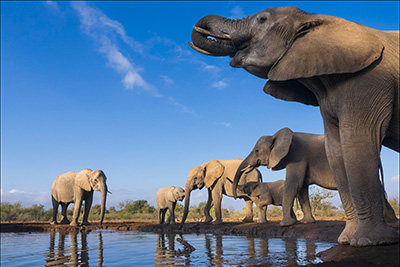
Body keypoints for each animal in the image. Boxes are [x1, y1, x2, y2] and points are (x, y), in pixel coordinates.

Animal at [231, 129, 396, 227]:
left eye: (257, 151)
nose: (235, 197)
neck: (277, 135)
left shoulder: (296, 156)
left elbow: (293, 185)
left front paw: (285, 224)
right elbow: (302, 189)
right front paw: (306, 222)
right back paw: (391, 222)